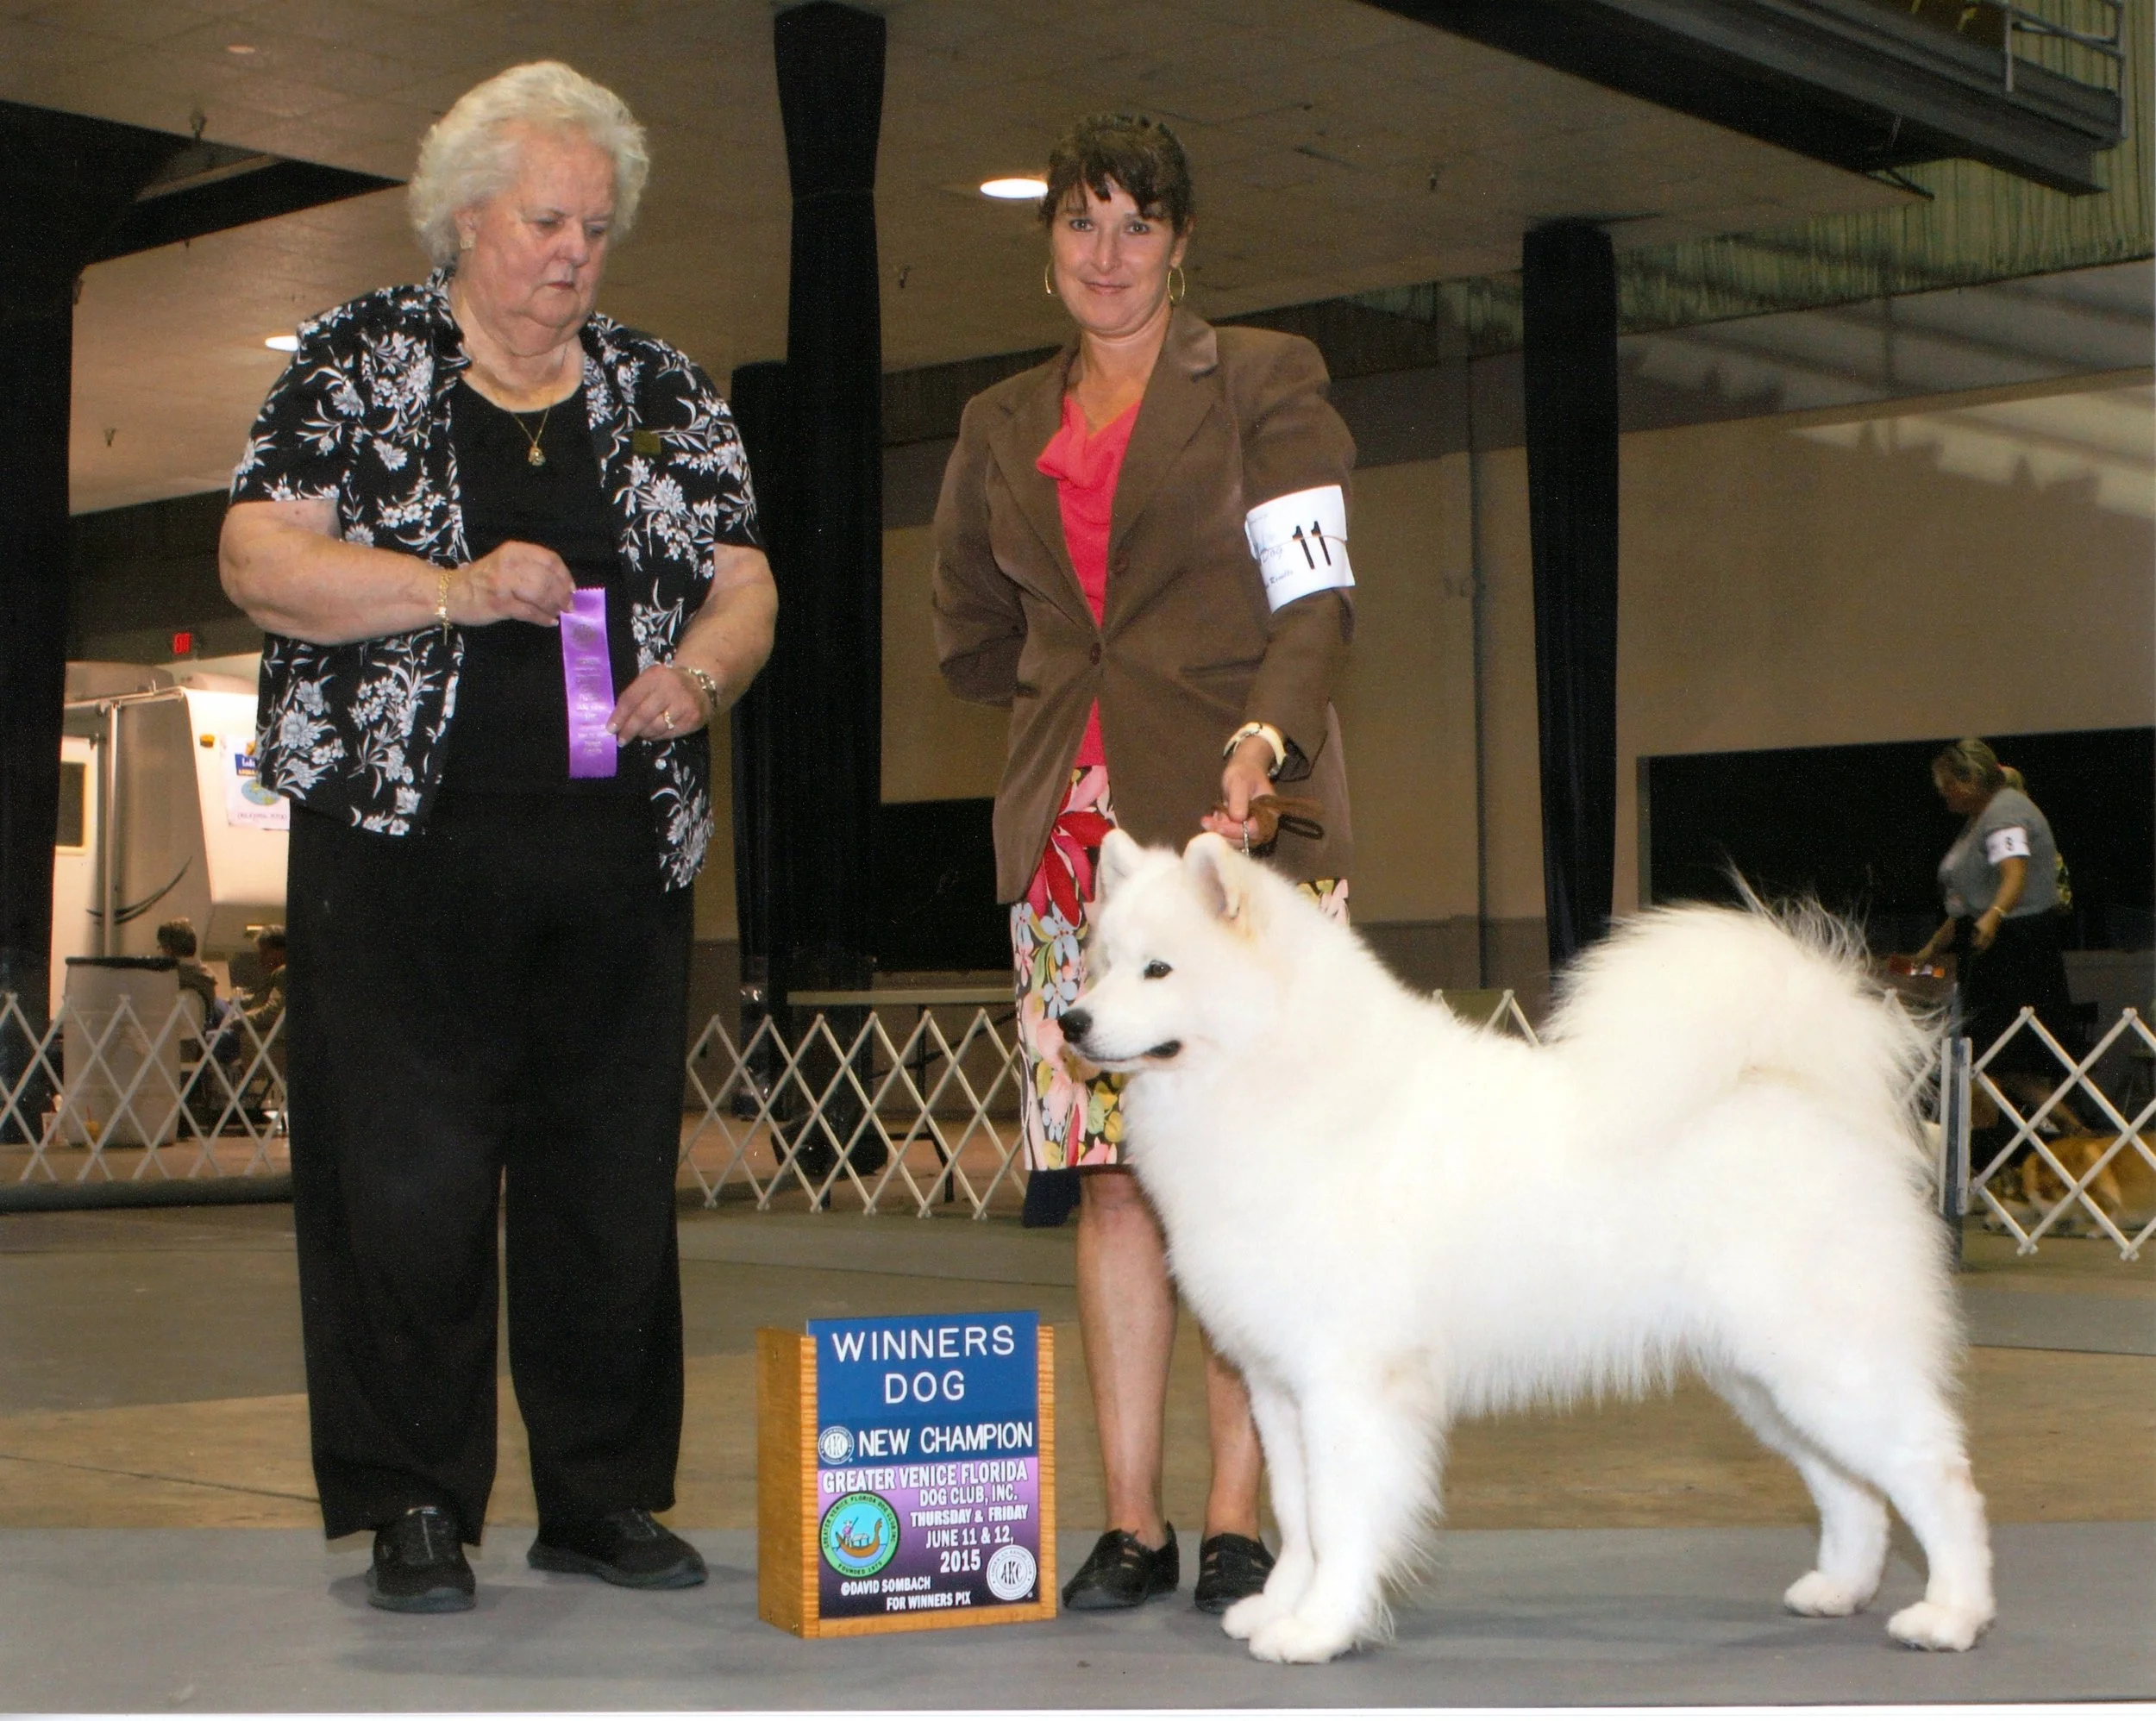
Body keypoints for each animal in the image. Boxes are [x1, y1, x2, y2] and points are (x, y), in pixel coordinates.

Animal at [1060, 830, 1994, 1664]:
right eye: (1102, 963)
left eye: (1159, 970)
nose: (1072, 1020)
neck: (1282, 1077)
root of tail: (1803, 1094)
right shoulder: (1276, 1385)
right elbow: (1297, 1514)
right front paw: (1280, 1607)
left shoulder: (1347, 1383)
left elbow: (1340, 1515)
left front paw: (1320, 1629)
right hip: (1764, 1378)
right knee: (1852, 1488)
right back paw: (1838, 1588)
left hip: (1826, 1361)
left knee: (1934, 1472)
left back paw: (1951, 1615)